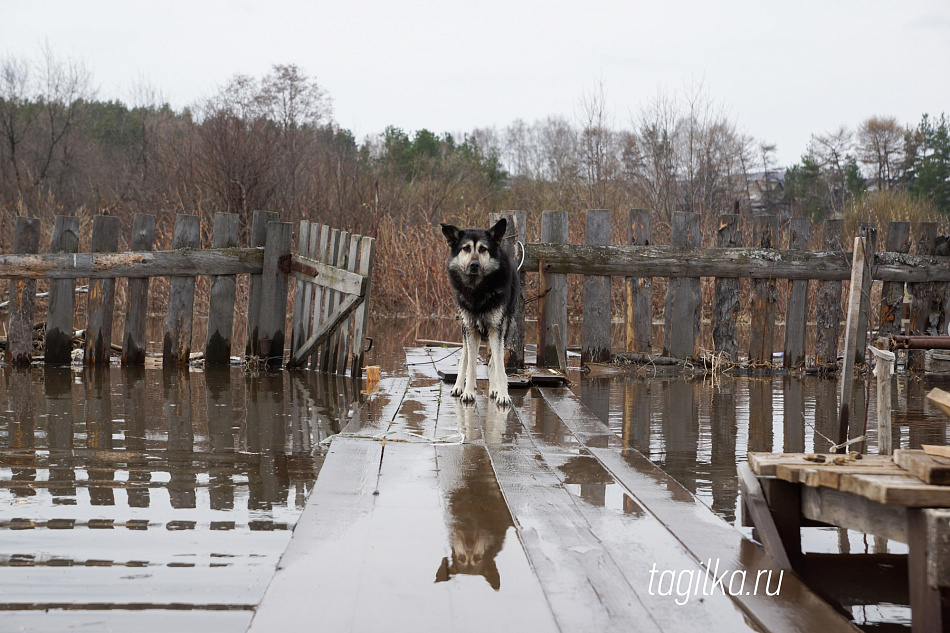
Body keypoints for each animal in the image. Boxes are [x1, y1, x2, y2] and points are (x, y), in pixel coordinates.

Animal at [440, 216, 516, 404]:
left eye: (483, 249)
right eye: (466, 248)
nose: (474, 265)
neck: (478, 290)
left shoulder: (496, 329)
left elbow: (499, 366)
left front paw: (503, 394)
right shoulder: (470, 329)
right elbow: (471, 366)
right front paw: (468, 392)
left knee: (493, 362)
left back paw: (495, 389)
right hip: (465, 330)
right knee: (465, 359)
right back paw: (459, 386)